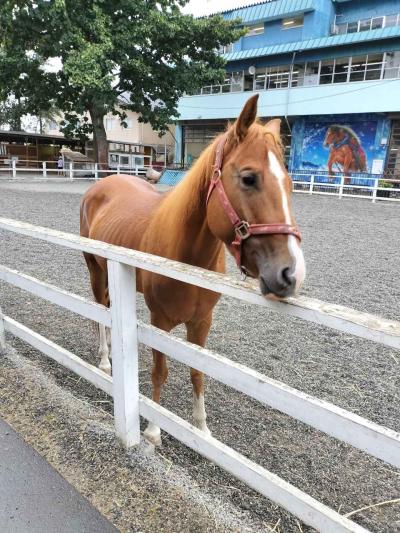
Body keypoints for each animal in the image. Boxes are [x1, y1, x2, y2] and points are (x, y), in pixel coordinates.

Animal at [80, 94, 306, 444]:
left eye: (290, 183)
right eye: (249, 178)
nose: (292, 273)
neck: (186, 261)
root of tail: (103, 183)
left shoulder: (201, 322)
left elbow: (198, 371)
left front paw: (201, 429)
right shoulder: (159, 322)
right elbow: (160, 371)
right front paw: (154, 431)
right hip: (96, 269)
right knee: (100, 310)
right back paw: (105, 360)